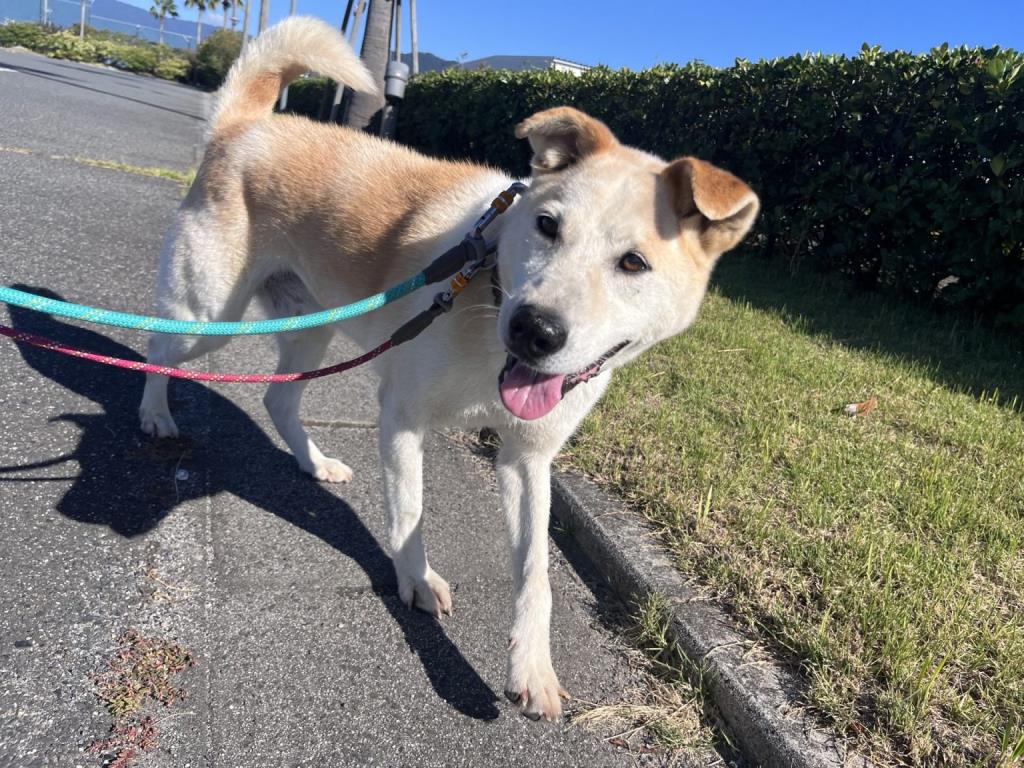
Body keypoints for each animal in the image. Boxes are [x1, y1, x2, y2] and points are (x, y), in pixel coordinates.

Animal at [138, 17, 759, 721]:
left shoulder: (527, 458)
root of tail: (242, 126)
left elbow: (536, 574)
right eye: (547, 225)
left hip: (310, 325)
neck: (488, 300)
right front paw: (416, 584)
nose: (533, 329)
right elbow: (409, 514)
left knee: (278, 400)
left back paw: (314, 463)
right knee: (155, 348)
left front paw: (532, 668)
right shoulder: (403, 418)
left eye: (634, 263)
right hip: (207, 314)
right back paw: (155, 415)